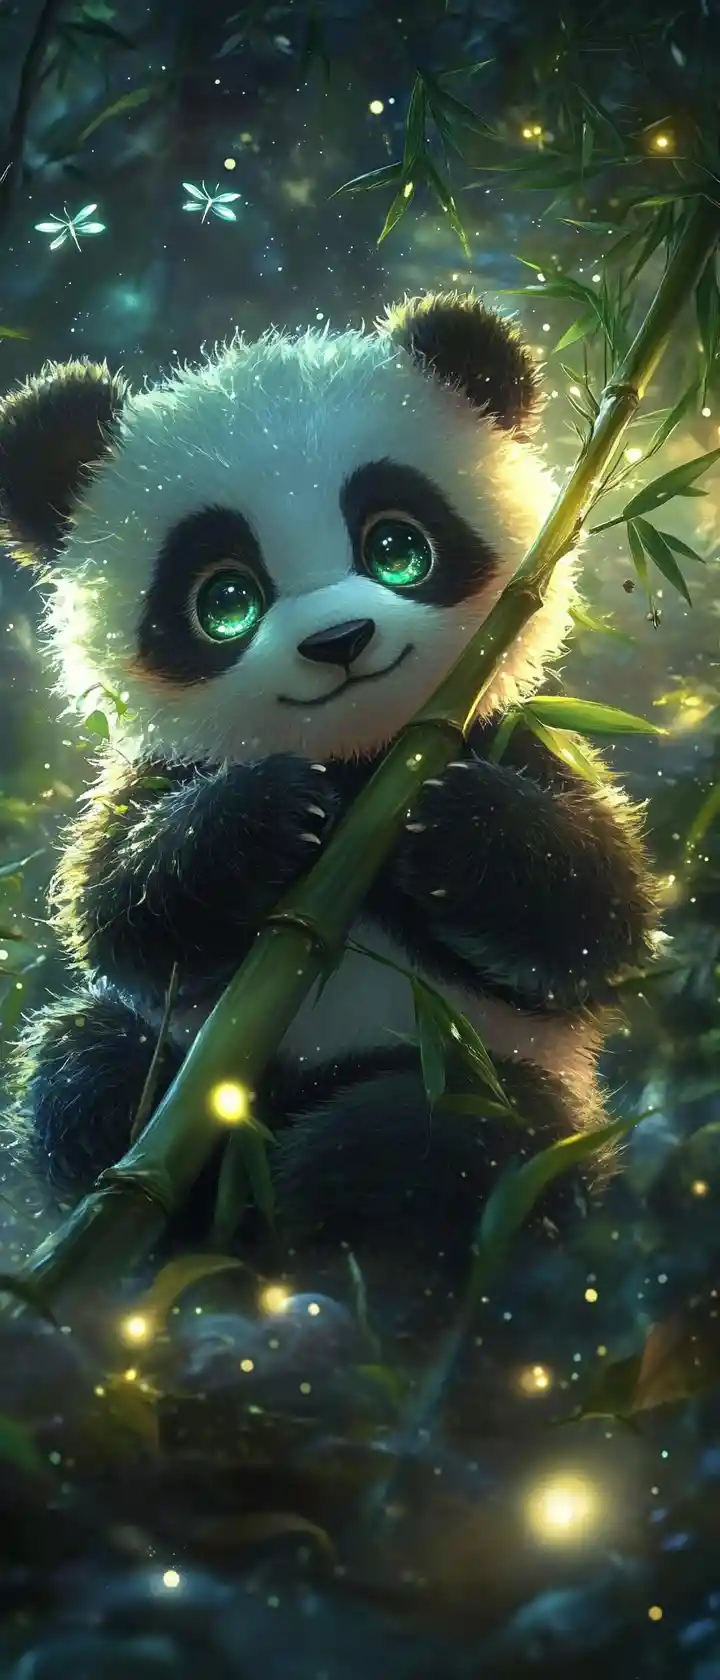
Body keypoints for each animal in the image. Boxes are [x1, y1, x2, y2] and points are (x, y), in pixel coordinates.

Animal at [0, 292, 657, 1301]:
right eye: (224, 600)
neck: (359, 759)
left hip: (485, 1073)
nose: (339, 641)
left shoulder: (512, 736)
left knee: (473, 1146)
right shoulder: (163, 771)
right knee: (86, 1070)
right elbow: (115, 906)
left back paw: (336, 1190)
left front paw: (453, 830)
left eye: (397, 547)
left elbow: (597, 921)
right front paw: (262, 821)